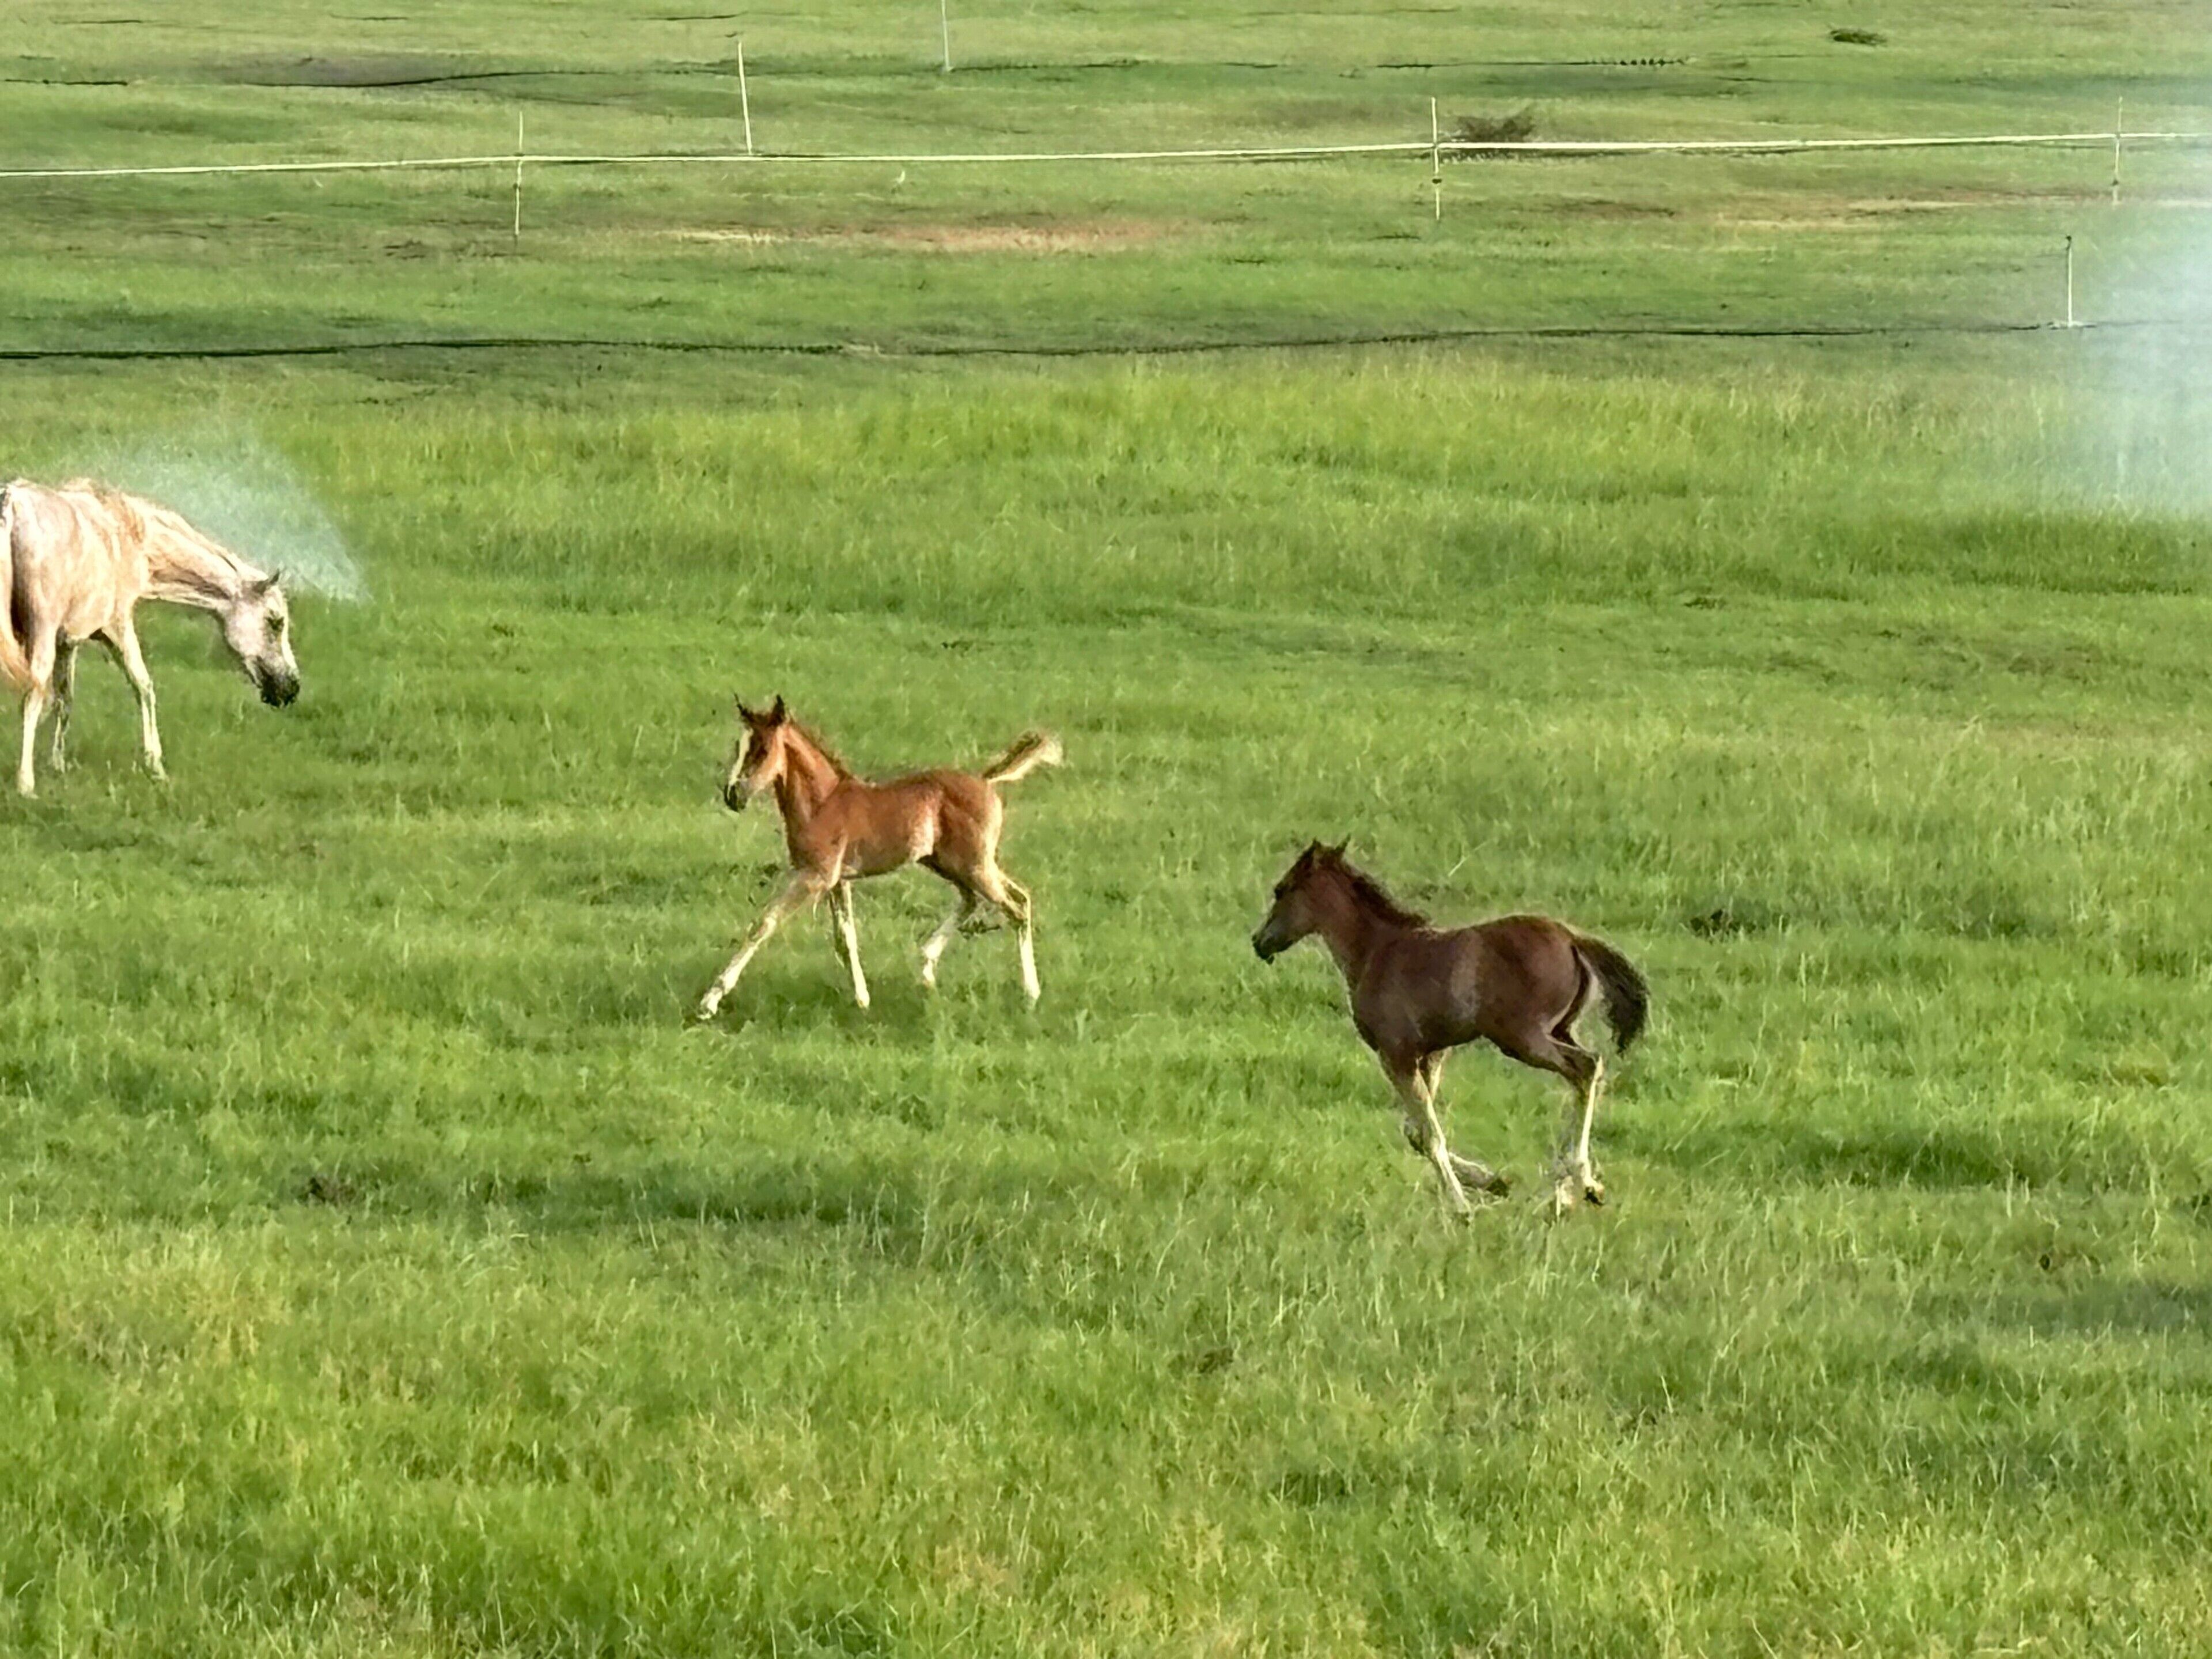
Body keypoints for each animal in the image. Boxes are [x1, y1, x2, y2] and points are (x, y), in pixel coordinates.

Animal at [0, 478, 300, 797]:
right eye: (276, 622)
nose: (291, 688)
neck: (130, 534)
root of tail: (12, 503)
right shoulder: (117, 626)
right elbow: (143, 687)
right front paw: (155, 766)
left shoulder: (68, 641)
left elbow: (64, 699)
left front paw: (58, 764)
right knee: (32, 697)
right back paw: (26, 785)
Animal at [693, 696, 1061, 1021]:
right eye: (739, 748)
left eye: (763, 750)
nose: (733, 795)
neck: (823, 803)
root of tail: (986, 781)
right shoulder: (838, 882)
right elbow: (846, 939)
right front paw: (863, 1000)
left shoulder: (814, 877)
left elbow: (764, 924)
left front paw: (710, 1001)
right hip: (953, 864)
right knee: (996, 899)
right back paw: (926, 968)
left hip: (973, 866)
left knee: (1014, 910)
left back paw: (1030, 993)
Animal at [1251, 842, 1648, 1219]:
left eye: (1281, 890)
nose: (1259, 942)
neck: (1377, 951)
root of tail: (1571, 938)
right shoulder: (1431, 1053)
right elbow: (1415, 1132)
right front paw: (1493, 1181)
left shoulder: (1396, 1053)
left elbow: (1428, 1135)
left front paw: (1462, 1208)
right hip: (1560, 1029)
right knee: (1585, 1076)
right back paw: (1565, 1191)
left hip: (1523, 1038)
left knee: (1586, 1067)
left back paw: (1578, 1182)